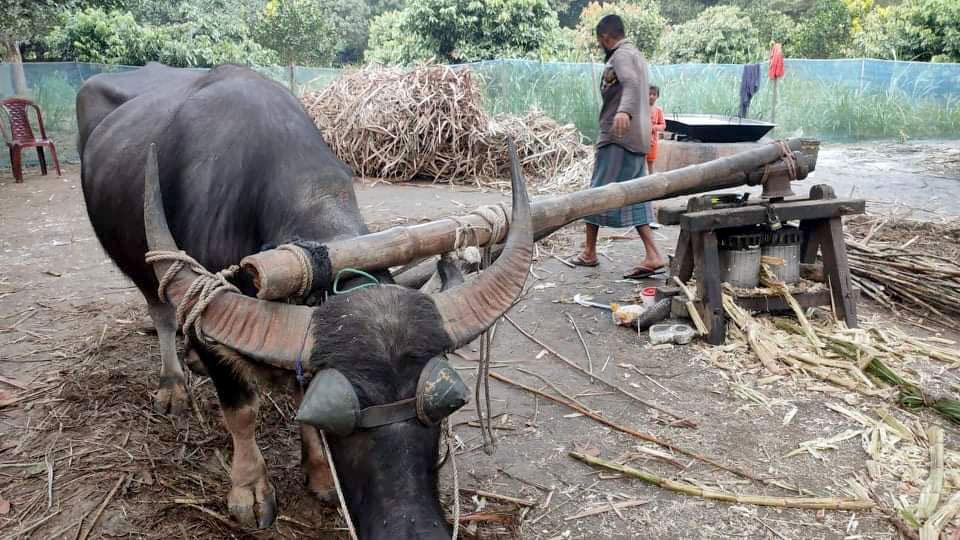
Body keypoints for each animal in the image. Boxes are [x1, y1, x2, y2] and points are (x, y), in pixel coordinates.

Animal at [79, 62, 532, 536]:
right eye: (339, 416)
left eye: (447, 400)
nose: (414, 530)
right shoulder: (205, 314)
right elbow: (241, 410)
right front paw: (250, 489)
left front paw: (319, 472)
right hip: (143, 267)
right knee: (162, 312)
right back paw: (172, 385)